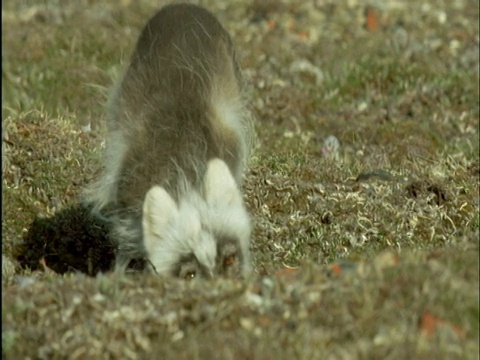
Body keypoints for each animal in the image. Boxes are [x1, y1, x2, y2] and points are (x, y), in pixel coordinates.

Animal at [85, 2, 255, 280]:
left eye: (230, 259)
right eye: (190, 274)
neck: (184, 177)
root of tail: (184, 6)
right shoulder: (127, 209)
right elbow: (125, 249)